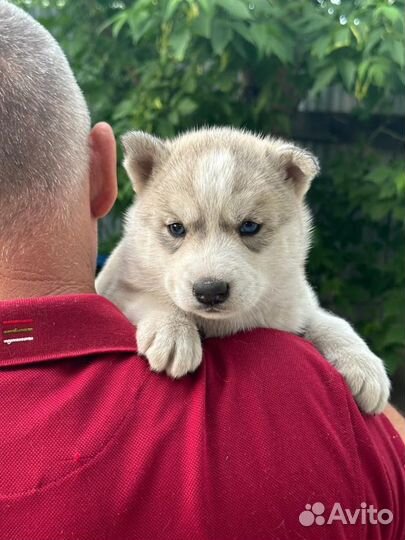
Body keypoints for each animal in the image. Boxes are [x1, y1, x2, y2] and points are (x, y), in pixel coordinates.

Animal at [96, 126, 390, 414]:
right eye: (176, 228)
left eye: (249, 226)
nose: (210, 291)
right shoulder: (119, 286)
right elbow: (152, 298)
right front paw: (173, 331)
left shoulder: (294, 305)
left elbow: (330, 321)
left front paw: (364, 365)